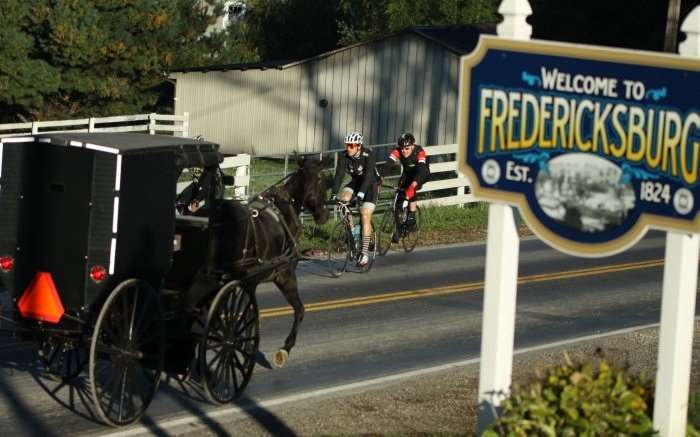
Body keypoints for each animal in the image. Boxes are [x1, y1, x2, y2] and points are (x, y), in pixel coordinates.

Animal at [211, 155, 330, 366]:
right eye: (322, 181)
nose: (324, 215)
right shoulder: (285, 275)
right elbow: (300, 310)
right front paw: (284, 349)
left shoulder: (250, 283)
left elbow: (248, 317)